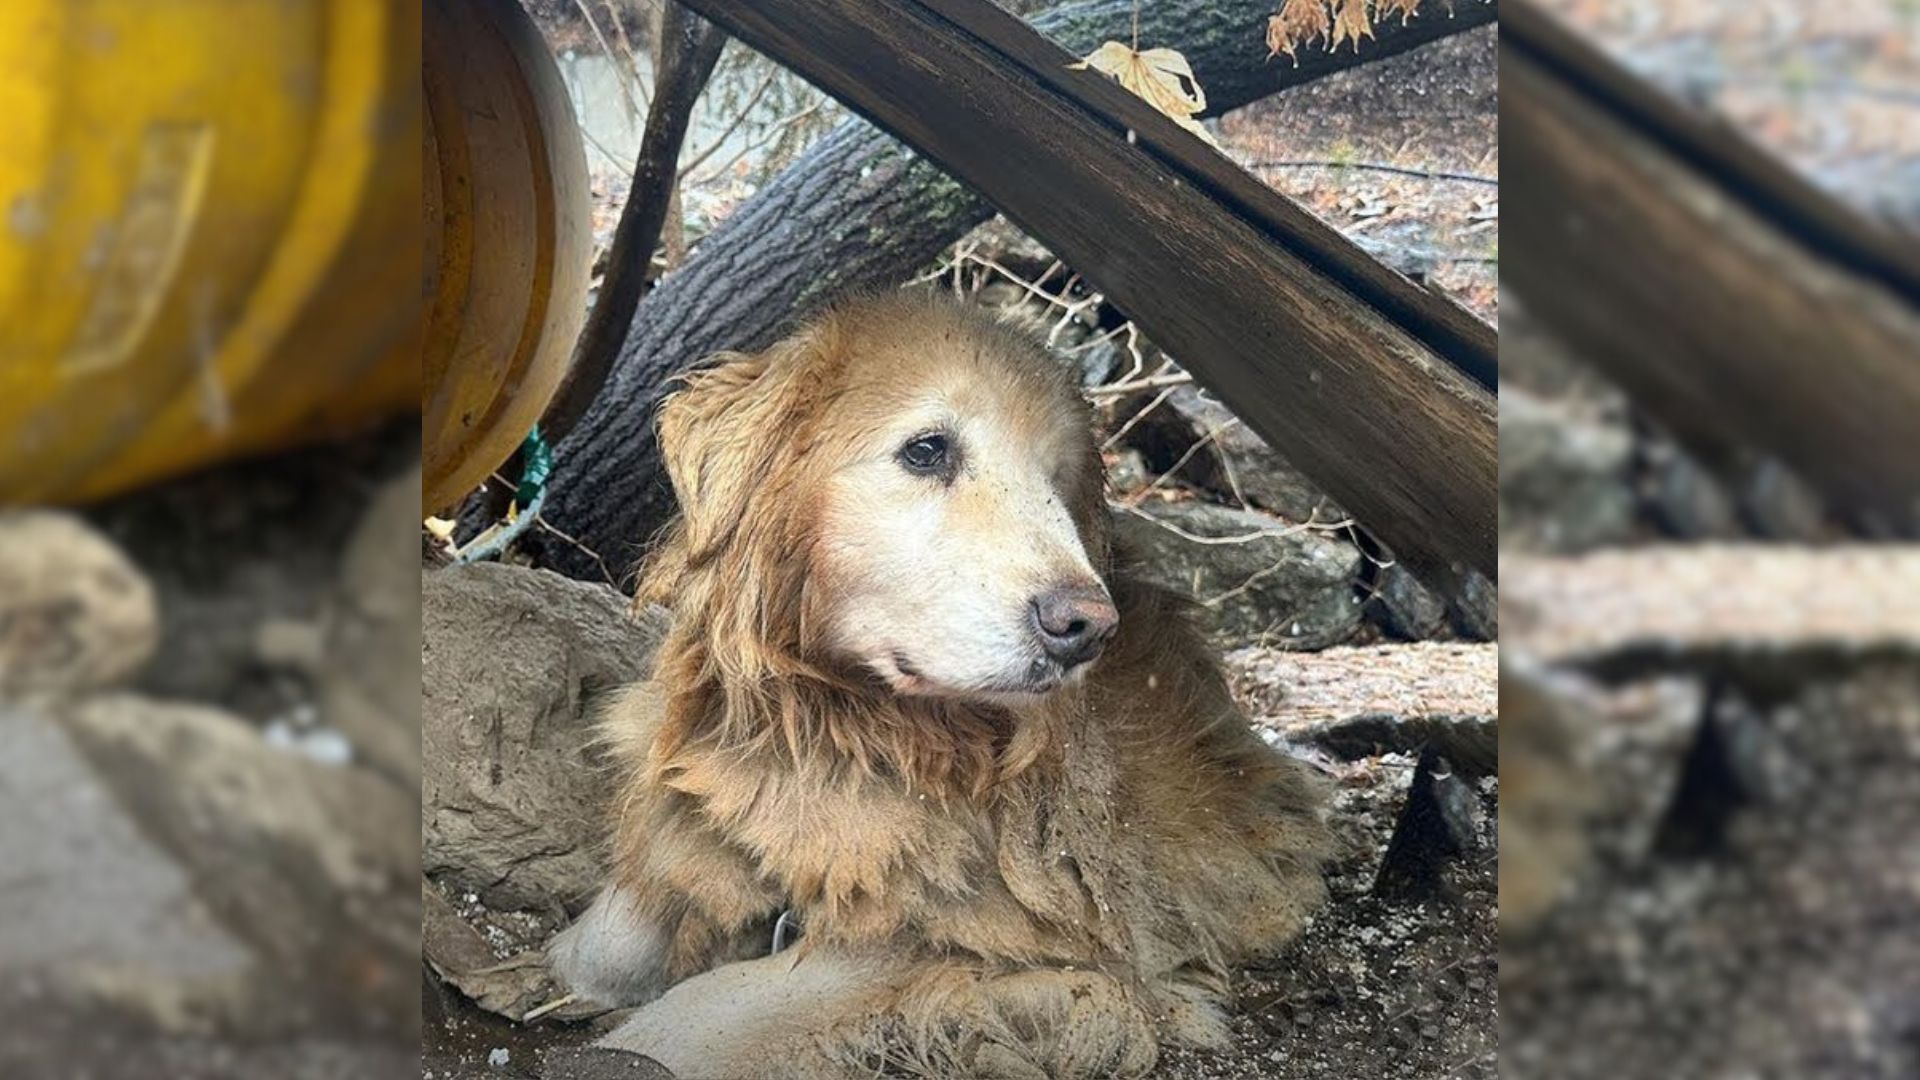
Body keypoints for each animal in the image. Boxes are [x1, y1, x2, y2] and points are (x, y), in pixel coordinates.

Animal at [556, 290, 1336, 1068]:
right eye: (926, 451)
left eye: (1056, 483)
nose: (1087, 626)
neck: (838, 728)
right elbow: (611, 931)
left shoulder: (1003, 944)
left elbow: (715, 1009)